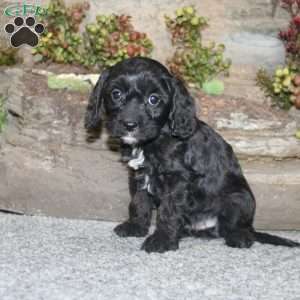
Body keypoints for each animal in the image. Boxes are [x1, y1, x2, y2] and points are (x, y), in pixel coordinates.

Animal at [85, 56, 300, 253]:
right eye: (116, 94)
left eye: (153, 99)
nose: (130, 124)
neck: (156, 139)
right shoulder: (138, 174)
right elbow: (139, 201)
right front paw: (135, 226)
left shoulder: (177, 180)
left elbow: (168, 211)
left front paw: (162, 240)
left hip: (240, 198)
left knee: (237, 226)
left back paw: (239, 237)